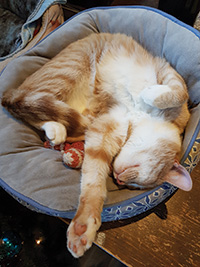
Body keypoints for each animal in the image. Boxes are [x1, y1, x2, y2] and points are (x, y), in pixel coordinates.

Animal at [1, 32, 192, 258]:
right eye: (134, 176)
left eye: (131, 186)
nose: (118, 178)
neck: (140, 116)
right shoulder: (167, 73)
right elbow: (177, 93)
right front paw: (150, 94)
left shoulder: (106, 127)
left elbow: (93, 181)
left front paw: (83, 227)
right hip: (67, 72)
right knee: (21, 101)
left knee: (37, 110)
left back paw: (57, 131)